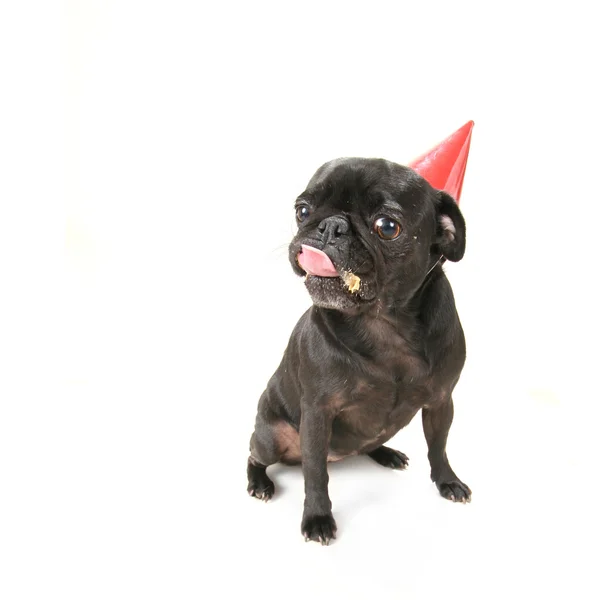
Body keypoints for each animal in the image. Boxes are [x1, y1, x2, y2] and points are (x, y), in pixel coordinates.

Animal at [247, 158, 470, 544]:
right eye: (302, 210)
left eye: (388, 227)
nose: (330, 226)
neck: (383, 324)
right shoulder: (318, 414)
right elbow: (316, 474)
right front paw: (318, 517)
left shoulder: (442, 402)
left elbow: (438, 446)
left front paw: (447, 481)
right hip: (269, 438)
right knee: (254, 455)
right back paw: (259, 482)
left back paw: (386, 452)